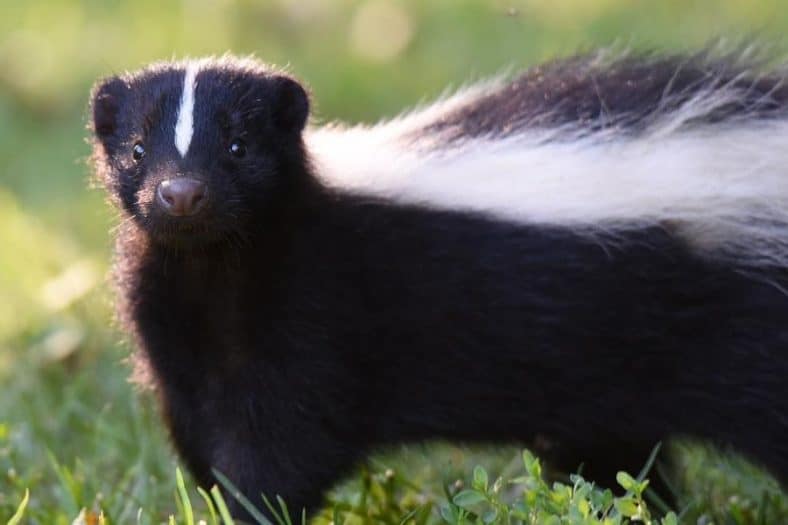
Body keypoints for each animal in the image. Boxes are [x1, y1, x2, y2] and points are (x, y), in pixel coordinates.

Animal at [89, 51, 788, 516]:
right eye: (136, 152)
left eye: (238, 146)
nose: (181, 194)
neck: (211, 267)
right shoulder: (175, 329)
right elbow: (197, 432)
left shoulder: (314, 315)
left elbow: (280, 445)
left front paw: (253, 509)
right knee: (618, 461)